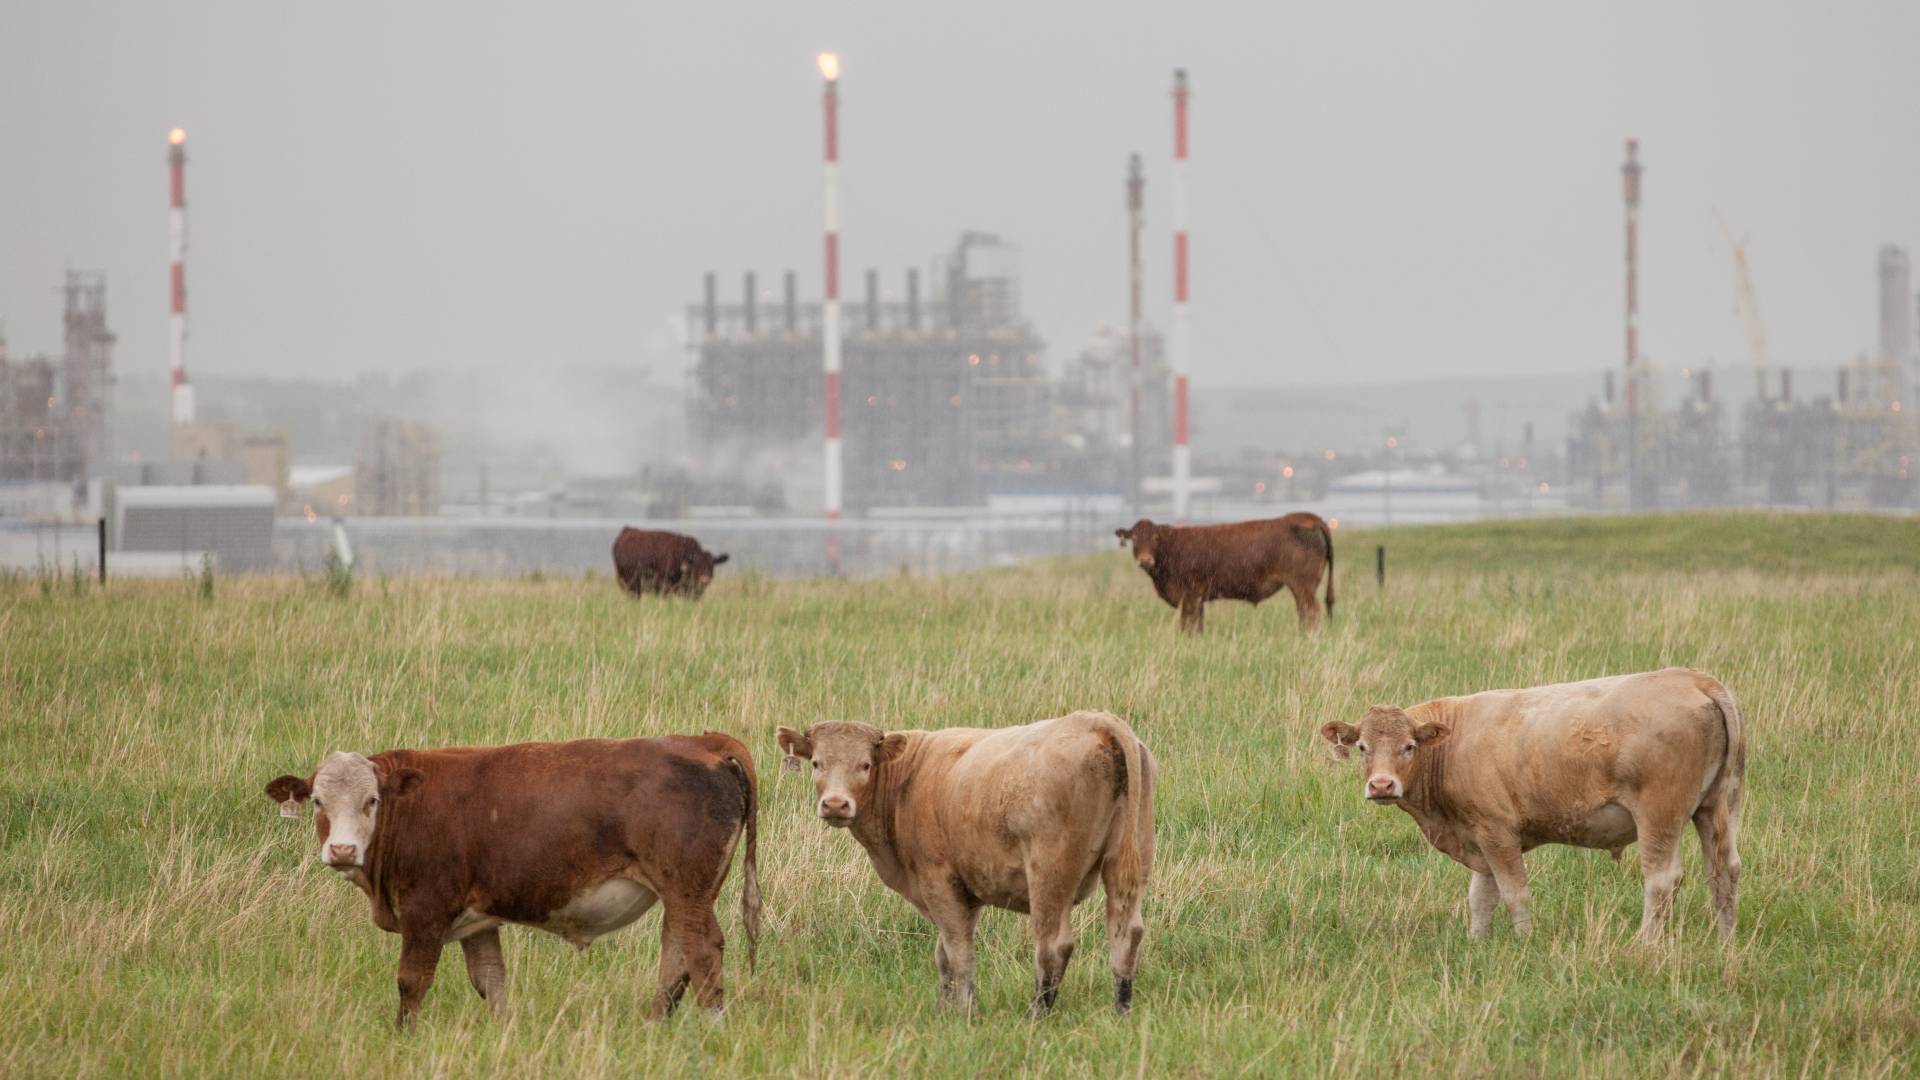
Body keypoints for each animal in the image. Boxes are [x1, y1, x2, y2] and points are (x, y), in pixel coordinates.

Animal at [257, 730, 764, 1022]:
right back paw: (654, 1025)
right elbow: (490, 980)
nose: (342, 850)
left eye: (372, 801)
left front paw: (404, 1036)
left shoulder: (425, 911)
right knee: (676, 955)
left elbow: (411, 981)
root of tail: (703, 741)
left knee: (702, 953)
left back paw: (712, 1027)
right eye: (318, 801)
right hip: (685, 894)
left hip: (686, 889)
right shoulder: (476, 920)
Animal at [768, 711, 1152, 1014]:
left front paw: (966, 1011)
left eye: (865, 764)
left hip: (1050, 873)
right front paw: (944, 1007)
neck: (908, 780)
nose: (835, 804)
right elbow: (945, 954)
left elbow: (958, 953)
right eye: (817, 763)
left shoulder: (938, 880)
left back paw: (1035, 1016)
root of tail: (1096, 721)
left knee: (1053, 946)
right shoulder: (967, 888)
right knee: (1125, 935)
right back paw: (1122, 1011)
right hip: (1127, 863)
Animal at [1113, 511, 1336, 630]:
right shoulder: (1197, 600)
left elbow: (1188, 626)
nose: (1145, 559)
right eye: (1134, 538)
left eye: (1155, 538)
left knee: (1311, 614)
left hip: (1303, 586)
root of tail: (1308, 517)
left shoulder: (1190, 597)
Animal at [1320, 668, 1743, 937]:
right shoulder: (1478, 837)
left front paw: (1522, 943)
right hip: (1714, 807)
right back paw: (1724, 942)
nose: (1381, 785)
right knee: (1723, 871)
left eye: (1409, 746)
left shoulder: (1496, 832)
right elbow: (1480, 898)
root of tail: (1695, 679)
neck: (1453, 742)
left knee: (1661, 881)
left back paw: (1644, 945)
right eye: (1362, 747)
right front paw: (1477, 943)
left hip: (1659, 815)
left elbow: (1514, 894)